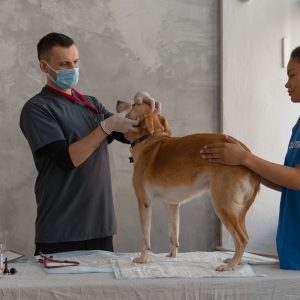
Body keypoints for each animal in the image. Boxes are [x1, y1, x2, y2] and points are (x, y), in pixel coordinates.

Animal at [117, 99, 260, 270]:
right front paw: (172, 256)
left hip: (223, 205)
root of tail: (245, 152)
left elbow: (145, 237)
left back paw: (230, 266)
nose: (118, 101)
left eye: (133, 105)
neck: (149, 140)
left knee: (242, 239)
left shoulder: (144, 202)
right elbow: (173, 234)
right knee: (244, 237)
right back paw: (234, 261)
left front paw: (143, 259)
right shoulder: (172, 205)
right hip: (236, 210)